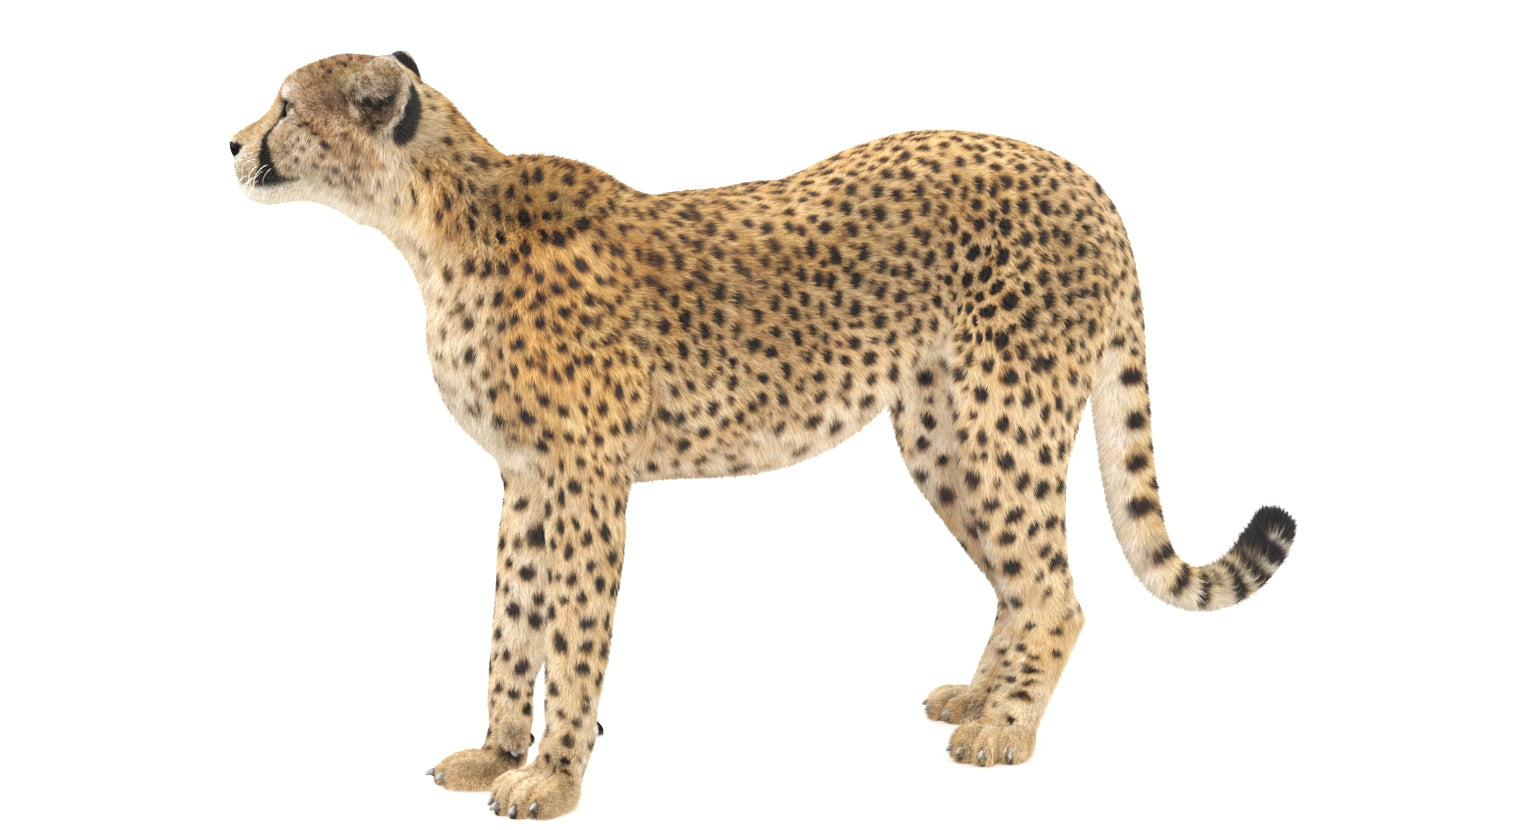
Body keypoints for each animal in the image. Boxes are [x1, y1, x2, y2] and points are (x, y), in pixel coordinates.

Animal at [230, 51, 1295, 820]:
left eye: (284, 105)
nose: (232, 141)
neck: (431, 221)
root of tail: (1079, 174)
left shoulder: (586, 475)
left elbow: (571, 629)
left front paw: (556, 777)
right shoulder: (527, 474)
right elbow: (512, 616)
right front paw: (496, 752)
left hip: (1006, 418)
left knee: (1057, 591)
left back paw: (1007, 732)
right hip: (940, 432)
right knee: (1016, 578)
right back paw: (980, 697)